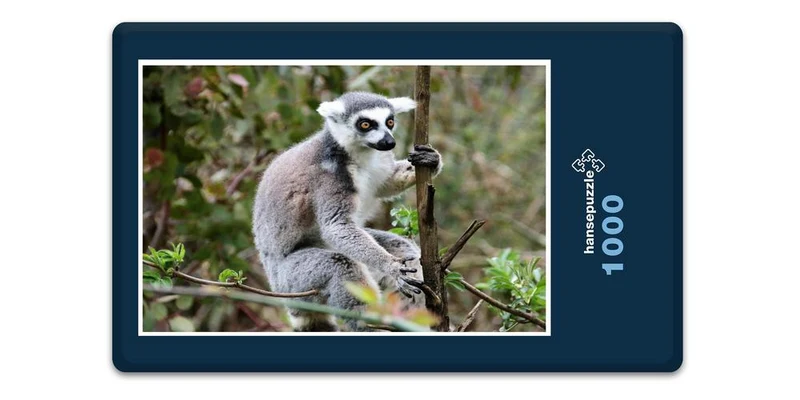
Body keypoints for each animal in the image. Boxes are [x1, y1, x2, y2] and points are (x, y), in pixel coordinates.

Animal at [252, 91, 442, 332]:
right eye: (365, 124)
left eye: (390, 122)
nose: (389, 142)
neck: (357, 154)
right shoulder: (329, 176)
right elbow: (337, 226)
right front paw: (390, 265)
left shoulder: (378, 164)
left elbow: (387, 184)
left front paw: (431, 160)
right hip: (292, 280)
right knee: (341, 266)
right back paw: (370, 325)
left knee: (403, 248)